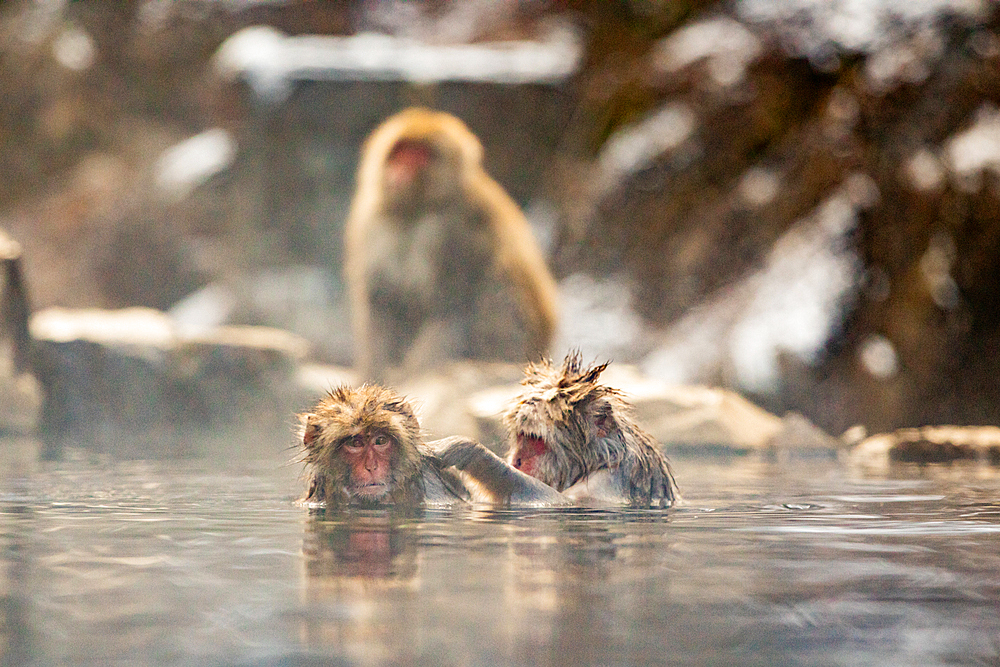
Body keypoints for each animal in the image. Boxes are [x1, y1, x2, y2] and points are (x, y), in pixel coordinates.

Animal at [344, 107, 560, 384]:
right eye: (400, 152)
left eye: (420, 156)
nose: (399, 172)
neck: (414, 213)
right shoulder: (369, 222)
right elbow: (379, 305)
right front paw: (374, 377)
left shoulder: (456, 232)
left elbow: (450, 310)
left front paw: (415, 377)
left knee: (496, 280)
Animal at [444, 352, 680, 508]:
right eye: (522, 438)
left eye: (536, 441)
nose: (517, 462)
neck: (601, 458)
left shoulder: (606, 482)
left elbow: (560, 501)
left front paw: (470, 452)